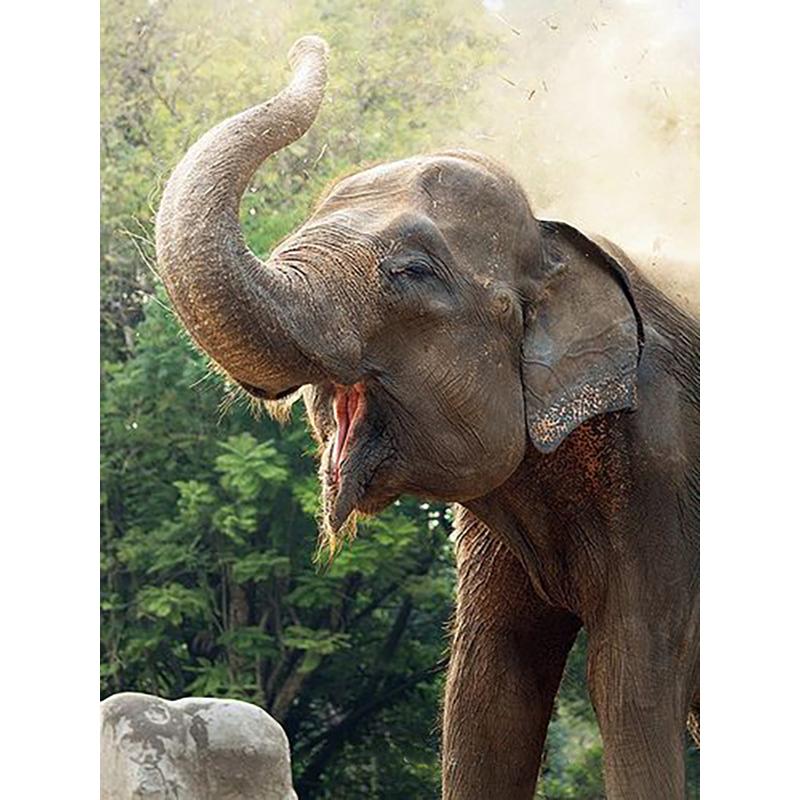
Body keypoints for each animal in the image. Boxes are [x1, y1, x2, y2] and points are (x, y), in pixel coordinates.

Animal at [155, 36, 699, 800]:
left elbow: (633, 681)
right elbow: (486, 694)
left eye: (413, 270)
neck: (559, 244)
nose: (308, 42)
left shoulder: (663, 463)